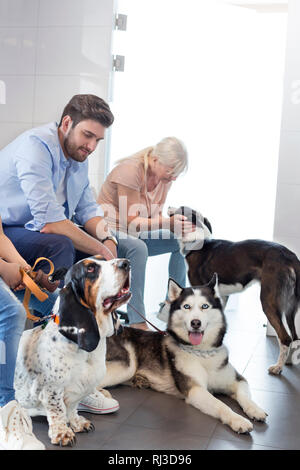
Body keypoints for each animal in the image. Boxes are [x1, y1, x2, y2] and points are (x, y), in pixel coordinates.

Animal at [13, 255, 130, 446]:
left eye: (103, 259)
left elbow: (73, 408)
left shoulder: (81, 389)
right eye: (90, 269)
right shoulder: (51, 390)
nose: (126, 263)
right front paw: (63, 433)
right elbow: (58, 411)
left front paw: (77, 423)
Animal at [101, 276, 268, 434]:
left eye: (205, 306)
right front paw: (238, 420)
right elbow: (221, 405)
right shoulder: (195, 390)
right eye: (186, 306)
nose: (196, 323)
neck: (203, 353)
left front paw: (256, 410)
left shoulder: (238, 380)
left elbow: (245, 396)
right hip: (127, 366)